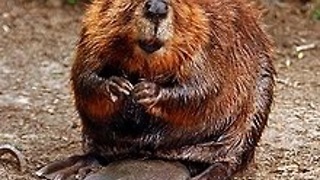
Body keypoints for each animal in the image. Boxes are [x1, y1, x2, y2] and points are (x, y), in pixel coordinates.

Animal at [35, 0, 276, 179]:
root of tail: (168, 156)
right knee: (99, 154)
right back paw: (58, 169)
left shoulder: (213, 37)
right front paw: (118, 86)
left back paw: (206, 174)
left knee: (230, 159)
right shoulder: (93, 29)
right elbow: (84, 75)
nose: (157, 8)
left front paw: (147, 91)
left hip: (257, 103)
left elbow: (203, 87)